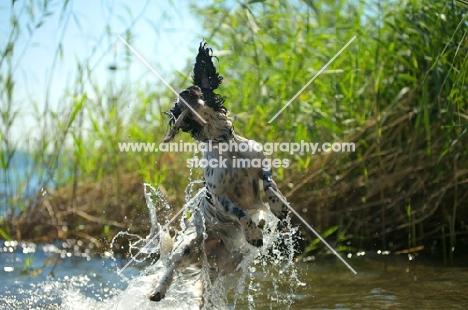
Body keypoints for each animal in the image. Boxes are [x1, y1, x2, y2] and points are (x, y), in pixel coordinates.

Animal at [150, 42, 288, 306]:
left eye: (196, 89)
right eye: (179, 106)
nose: (185, 93)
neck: (225, 145)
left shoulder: (260, 164)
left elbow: (269, 185)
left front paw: (278, 206)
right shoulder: (221, 197)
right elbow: (241, 213)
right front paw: (253, 234)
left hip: (230, 264)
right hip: (187, 246)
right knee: (171, 267)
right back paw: (158, 291)